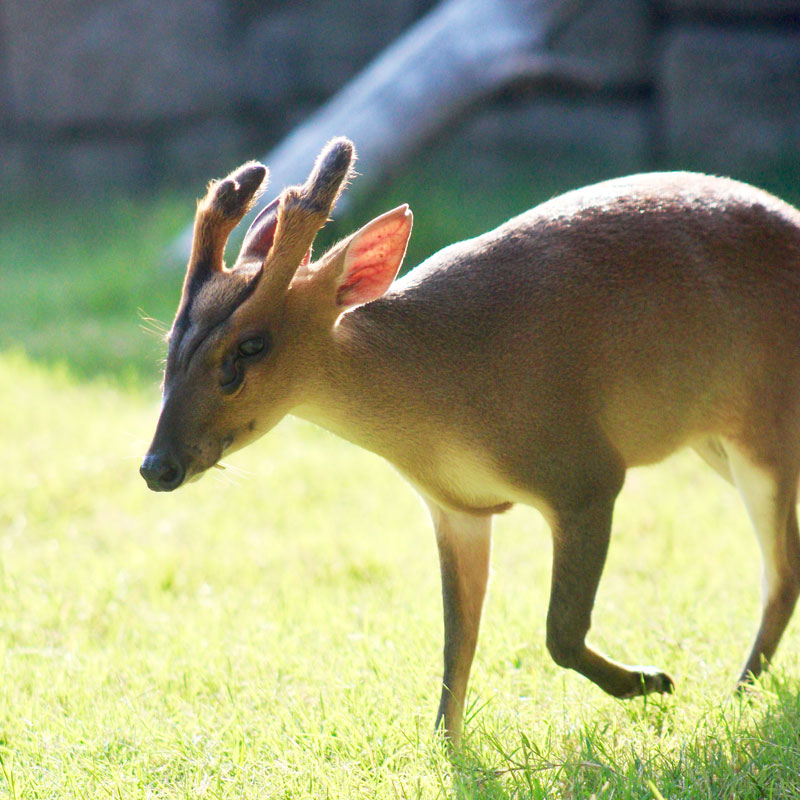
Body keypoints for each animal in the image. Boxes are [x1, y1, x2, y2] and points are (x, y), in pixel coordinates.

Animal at [141, 138, 800, 744]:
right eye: (172, 338)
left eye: (251, 346)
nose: (156, 467)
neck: (446, 394)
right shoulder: (457, 508)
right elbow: (456, 644)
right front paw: (446, 745)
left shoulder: (584, 474)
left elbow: (560, 633)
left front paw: (651, 682)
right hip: (718, 442)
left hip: (765, 427)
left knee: (781, 570)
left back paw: (736, 694)